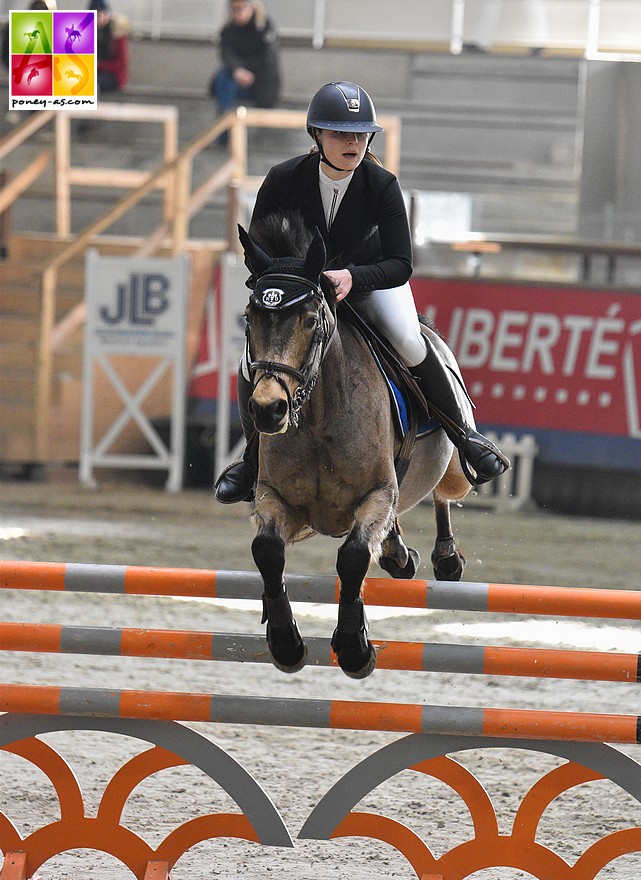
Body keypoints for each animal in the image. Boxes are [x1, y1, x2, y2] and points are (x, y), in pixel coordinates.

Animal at [238, 215, 472, 680]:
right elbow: (267, 551)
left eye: (310, 320)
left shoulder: (377, 494)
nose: (268, 410)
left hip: (453, 465)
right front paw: (286, 643)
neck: (316, 416)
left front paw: (354, 648)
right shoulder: (274, 498)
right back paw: (399, 553)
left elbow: (352, 557)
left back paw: (445, 557)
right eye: (250, 317)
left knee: (444, 491)